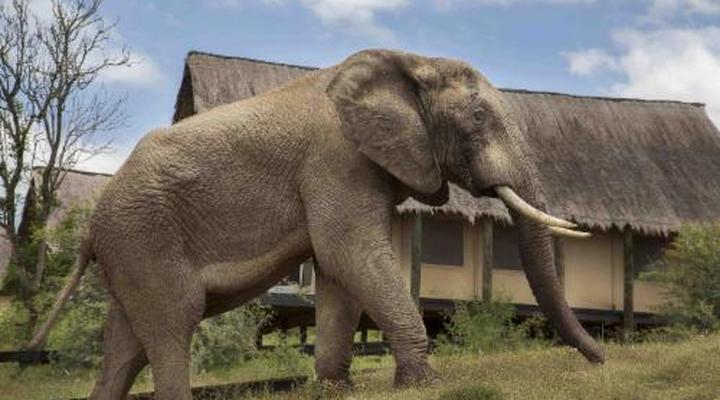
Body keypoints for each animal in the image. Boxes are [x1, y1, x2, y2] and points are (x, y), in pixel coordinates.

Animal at [29, 49, 603, 400]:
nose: (599, 362)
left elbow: (338, 272)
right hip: (144, 234)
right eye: (479, 119)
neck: (411, 62)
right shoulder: (337, 161)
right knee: (173, 323)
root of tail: (90, 225)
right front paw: (424, 385)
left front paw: (334, 391)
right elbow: (350, 253)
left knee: (126, 344)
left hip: (130, 247)